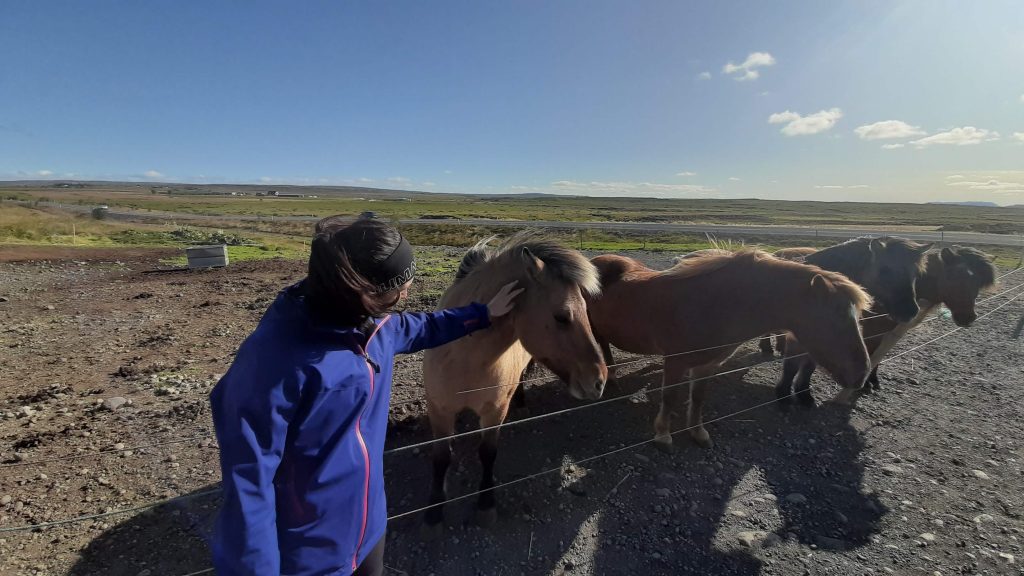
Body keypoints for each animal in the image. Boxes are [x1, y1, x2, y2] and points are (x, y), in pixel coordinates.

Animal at [419, 230, 602, 532]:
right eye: (562, 316)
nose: (599, 380)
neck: (465, 358)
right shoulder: (439, 410)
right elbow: (441, 457)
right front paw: (433, 513)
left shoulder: (495, 411)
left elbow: (487, 453)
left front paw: (485, 505)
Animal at [585, 249, 872, 450]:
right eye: (835, 320)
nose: (862, 375)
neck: (715, 303)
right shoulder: (675, 362)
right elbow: (670, 397)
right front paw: (663, 436)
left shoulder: (707, 365)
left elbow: (698, 398)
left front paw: (698, 433)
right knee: (603, 349)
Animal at [774, 233, 937, 403]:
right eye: (885, 270)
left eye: (916, 273)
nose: (909, 311)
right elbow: (791, 367)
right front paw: (784, 395)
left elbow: (808, 367)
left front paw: (804, 394)